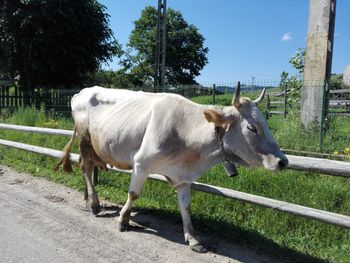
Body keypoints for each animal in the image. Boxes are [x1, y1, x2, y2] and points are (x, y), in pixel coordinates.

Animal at [56, 84, 288, 254]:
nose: (283, 161)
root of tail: (82, 91)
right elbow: (133, 194)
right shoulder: (141, 163)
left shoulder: (183, 176)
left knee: (85, 167)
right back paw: (94, 204)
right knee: (86, 167)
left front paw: (193, 239)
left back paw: (87, 199)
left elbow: (185, 207)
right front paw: (123, 220)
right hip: (85, 139)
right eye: (251, 127)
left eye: (266, 123)